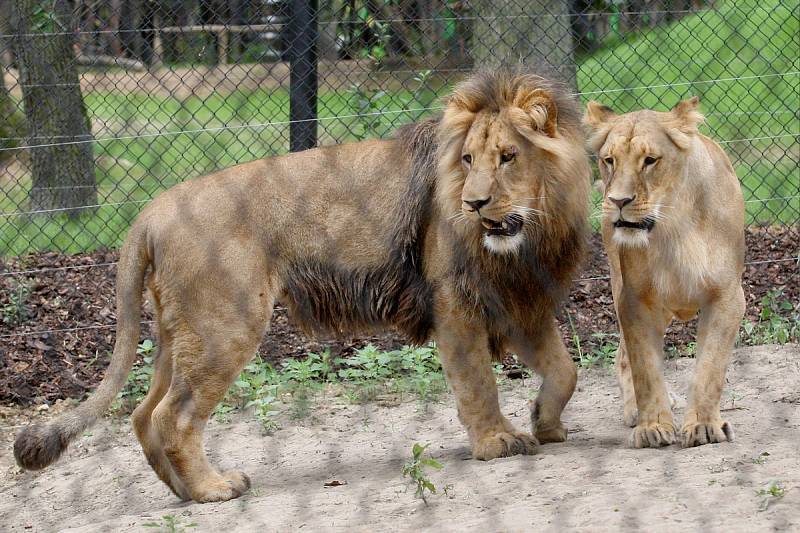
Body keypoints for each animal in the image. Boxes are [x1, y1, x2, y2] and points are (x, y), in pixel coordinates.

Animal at [15, 68, 592, 500]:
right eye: (468, 160)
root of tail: (150, 212)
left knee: (142, 413)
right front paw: (497, 441)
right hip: (225, 326)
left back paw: (181, 491)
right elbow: (478, 383)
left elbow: (566, 370)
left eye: (508, 157)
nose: (473, 204)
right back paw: (212, 490)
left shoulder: (522, 302)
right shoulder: (456, 303)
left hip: (179, 334)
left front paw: (545, 424)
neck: (533, 232)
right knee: (172, 417)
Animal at [584, 96, 748, 448]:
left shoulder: (728, 297)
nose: (618, 200)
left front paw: (703, 426)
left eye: (650, 161)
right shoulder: (634, 300)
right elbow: (645, 368)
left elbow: (710, 368)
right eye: (609, 160)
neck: (674, 226)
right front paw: (653, 427)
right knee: (623, 355)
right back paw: (635, 411)